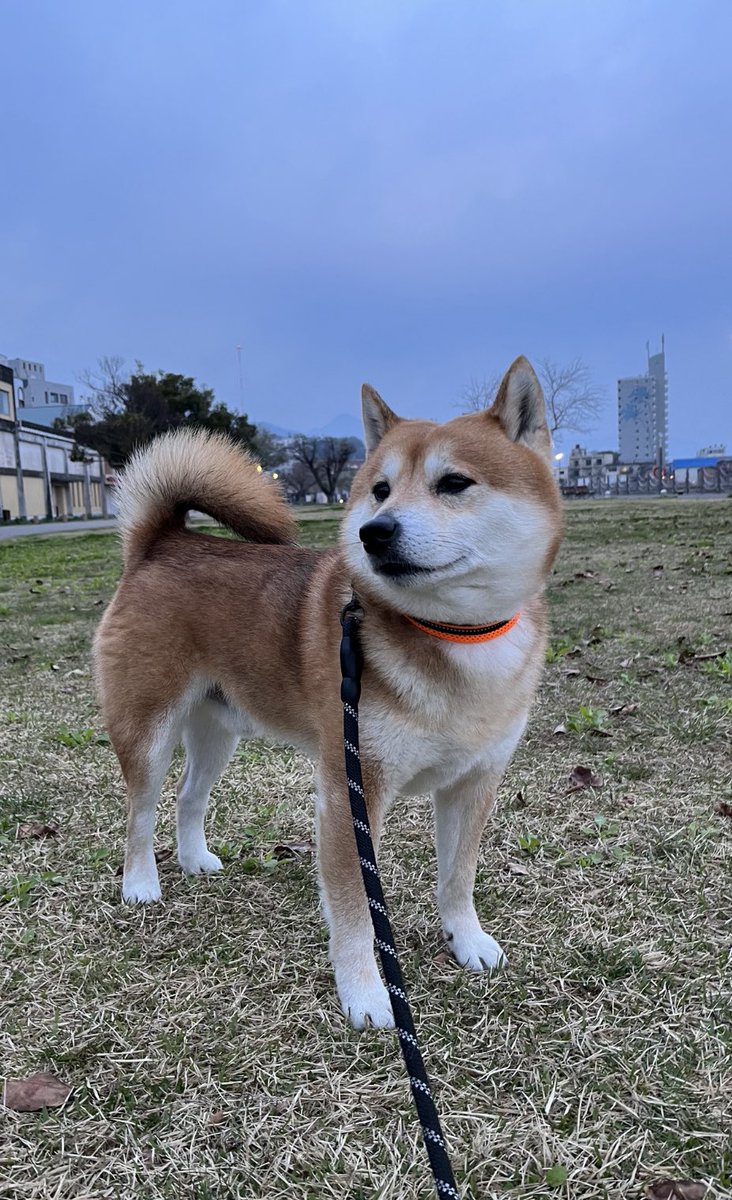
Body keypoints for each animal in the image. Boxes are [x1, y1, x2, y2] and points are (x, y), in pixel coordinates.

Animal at [95, 355, 559, 1032]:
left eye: (453, 483)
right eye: (380, 489)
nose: (374, 532)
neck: (455, 635)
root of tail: (162, 543)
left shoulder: (475, 781)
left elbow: (458, 878)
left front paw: (467, 940)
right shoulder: (351, 789)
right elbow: (356, 911)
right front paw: (364, 994)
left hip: (218, 730)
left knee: (188, 796)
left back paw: (194, 860)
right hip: (149, 726)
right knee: (141, 808)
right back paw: (141, 883)